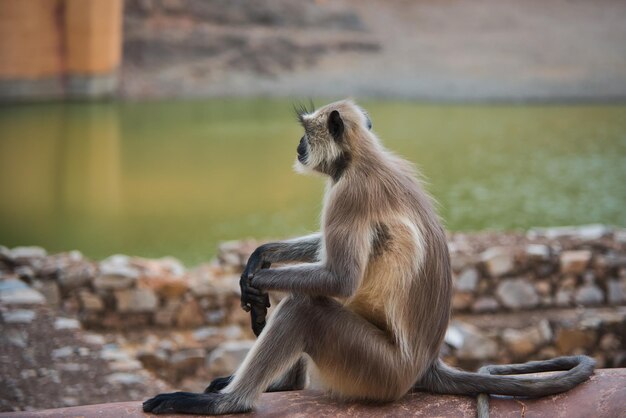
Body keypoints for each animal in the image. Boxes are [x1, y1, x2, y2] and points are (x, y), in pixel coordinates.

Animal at [143, 99, 596, 416]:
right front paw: (259, 257)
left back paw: (230, 402)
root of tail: (425, 364)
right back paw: (280, 386)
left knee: (306, 305)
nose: (298, 146)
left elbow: (340, 278)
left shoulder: (349, 193)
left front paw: (254, 282)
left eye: (306, 133)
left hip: (378, 372)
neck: (361, 158)